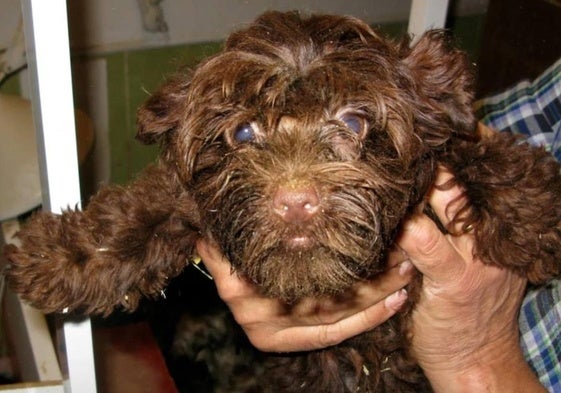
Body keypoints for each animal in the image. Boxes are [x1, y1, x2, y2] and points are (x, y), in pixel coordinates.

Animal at [3, 10, 560, 390]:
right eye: (244, 131)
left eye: (355, 121)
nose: (295, 202)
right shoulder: (188, 200)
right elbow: (133, 216)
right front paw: (57, 256)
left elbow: (476, 150)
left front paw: (534, 217)